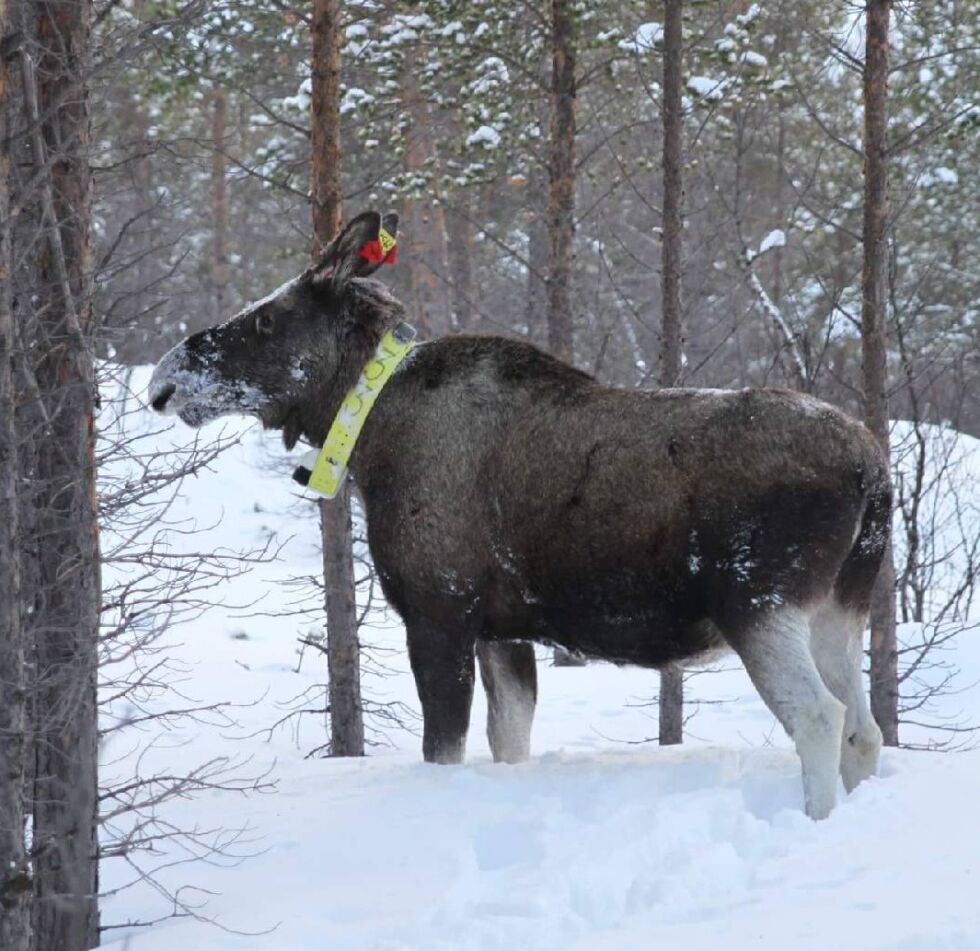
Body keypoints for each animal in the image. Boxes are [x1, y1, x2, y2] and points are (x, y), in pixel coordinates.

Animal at [149, 210, 892, 820]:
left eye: (266, 320)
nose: (164, 381)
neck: (370, 439)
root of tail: (873, 473)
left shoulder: (439, 611)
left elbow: (445, 748)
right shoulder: (503, 631)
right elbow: (509, 741)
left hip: (758, 602)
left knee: (819, 718)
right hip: (839, 606)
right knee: (866, 727)